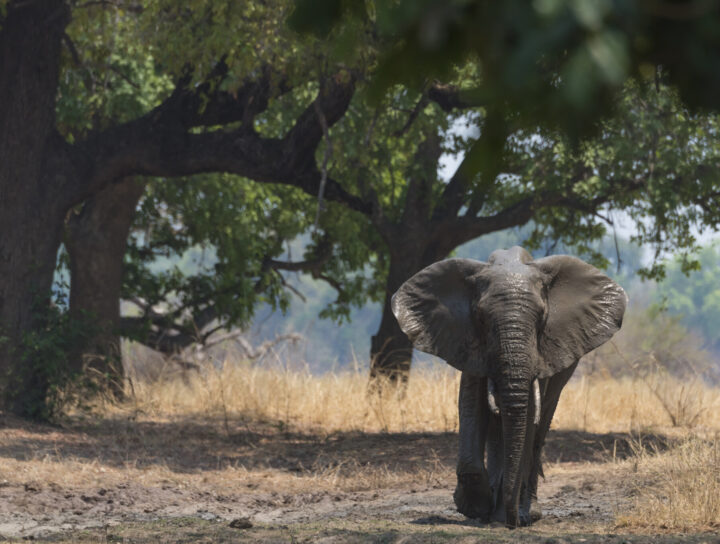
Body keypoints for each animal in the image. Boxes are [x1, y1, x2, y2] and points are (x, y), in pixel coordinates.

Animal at [390, 246, 628, 528]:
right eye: (481, 318)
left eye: (542, 318)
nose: (512, 522)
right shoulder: (467, 340)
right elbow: (471, 404)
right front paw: (474, 508)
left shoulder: (543, 350)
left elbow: (527, 418)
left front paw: (505, 515)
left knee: (539, 428)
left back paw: (527, 512)